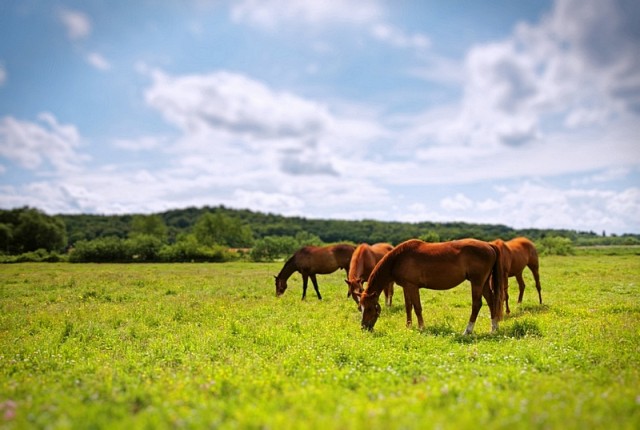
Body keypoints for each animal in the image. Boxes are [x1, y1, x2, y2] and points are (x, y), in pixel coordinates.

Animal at [358, 239, 502, 336]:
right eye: (360, 308)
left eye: (370, 308)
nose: (364, 327)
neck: (399, 258)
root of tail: (489, 245)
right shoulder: (406, 287)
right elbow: (408, 307)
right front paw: (408, 326)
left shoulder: (412, 286)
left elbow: (417, 307)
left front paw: (421, 328)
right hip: (483, 284)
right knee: (491, 302)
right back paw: (493, 329)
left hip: (477, 283)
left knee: (477, 304)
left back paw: (468, 330)